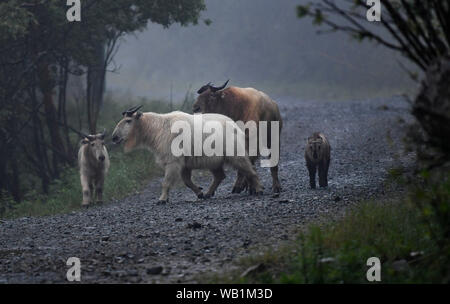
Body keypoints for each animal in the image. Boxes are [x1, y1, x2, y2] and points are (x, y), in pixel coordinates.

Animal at [110, 105, 262, 203]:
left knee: (251, 171)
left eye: (128, 121)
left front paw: (162, 199)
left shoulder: (173, 161)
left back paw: (258, 189)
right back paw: (208, 193)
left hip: (236, 155)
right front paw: (200, 193)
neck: (157, 127)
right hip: (214, 162)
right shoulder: (184, 164)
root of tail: (237, 127)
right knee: (220, 176)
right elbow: (187, 182)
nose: (114, 137)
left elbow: (166, 182)